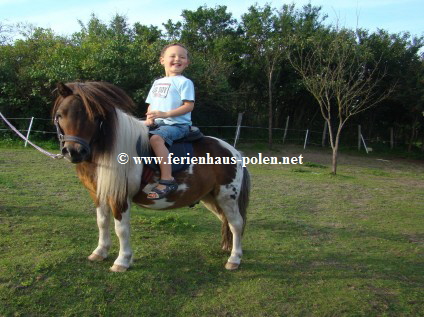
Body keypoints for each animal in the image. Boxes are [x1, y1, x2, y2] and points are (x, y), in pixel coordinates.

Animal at [53, 81, 252, 272]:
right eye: (60, 115)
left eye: (94, 116)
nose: (73, 152)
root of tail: (234, 151)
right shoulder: (98, 194)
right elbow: (102, 222)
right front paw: (100, 252)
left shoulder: (120, 197)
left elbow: (121, 229)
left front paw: (122, 261)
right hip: (210, 198)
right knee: (226, 221)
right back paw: (227, 248)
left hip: (227, 197)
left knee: (236, 224)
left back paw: (234, 259)